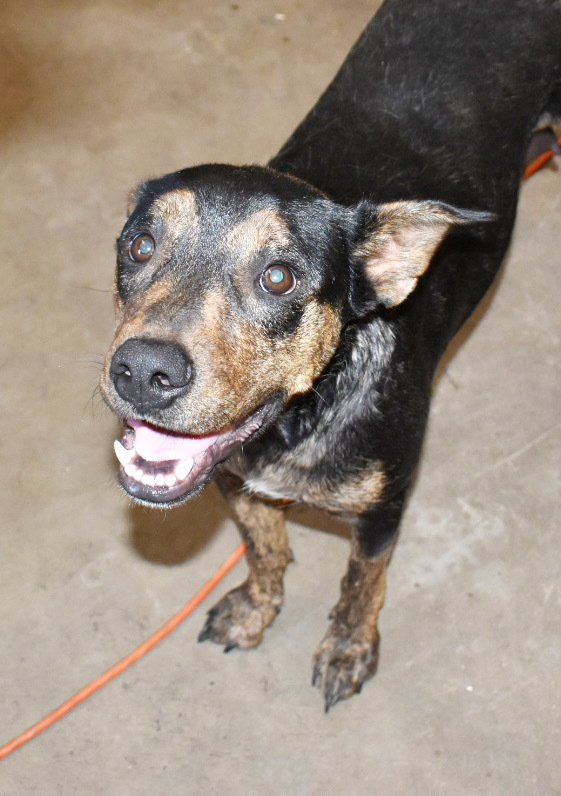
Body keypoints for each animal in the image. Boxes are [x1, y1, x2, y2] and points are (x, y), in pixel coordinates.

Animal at [100, 0, 560, 708]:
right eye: (140, 245)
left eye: (279, 277)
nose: (143, 373)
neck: (306, 414)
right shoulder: (235, 480)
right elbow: (263, 545)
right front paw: (257, 608)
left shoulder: (383, 513)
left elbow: (361, 585)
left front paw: (348, 647)